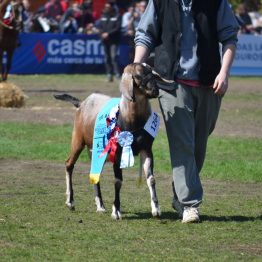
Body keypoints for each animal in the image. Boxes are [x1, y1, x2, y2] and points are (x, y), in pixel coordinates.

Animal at [54, 63, 162, 219]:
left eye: (152, 73)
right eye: (138, 75)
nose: (155, 90)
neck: (131, 120)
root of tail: (82, 104)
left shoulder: (146, 149)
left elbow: (151, 178)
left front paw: (156, 208)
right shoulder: (117, 153)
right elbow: (118, 182)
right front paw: (116, 211)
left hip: (97, 150)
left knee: (95, 174)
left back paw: (100, 206)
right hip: (78, 139)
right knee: (69, 164)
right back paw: (70, 202)